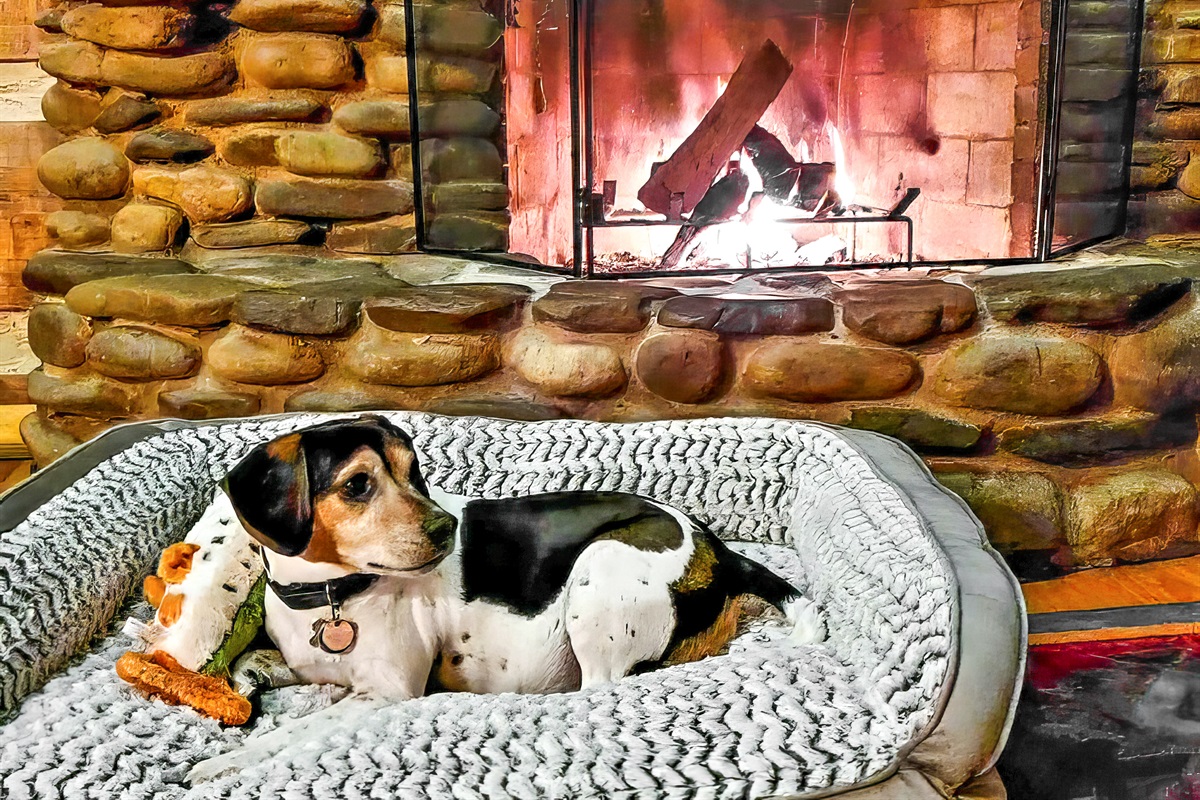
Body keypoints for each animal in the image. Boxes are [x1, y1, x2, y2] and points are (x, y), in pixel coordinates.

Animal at [221, 415, 825, 701]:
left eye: (414, 472)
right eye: (357, 485)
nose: (447, 528)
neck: (330, 598)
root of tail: (716, 548)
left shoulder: (386, 693)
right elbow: (255, 666)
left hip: (600, 569)